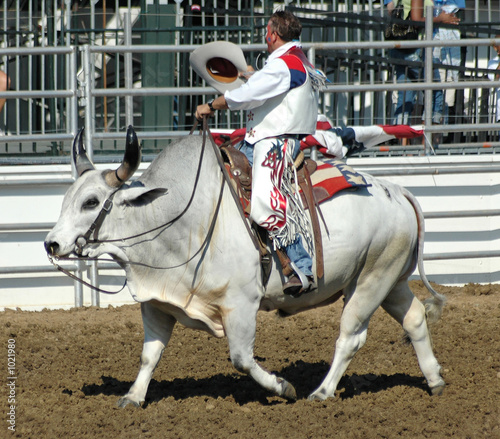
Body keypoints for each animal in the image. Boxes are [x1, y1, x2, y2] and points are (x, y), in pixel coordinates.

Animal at [44, 125, 446, 408]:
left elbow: (241, 358)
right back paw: (435, 380)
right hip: (389, 281)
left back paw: (321, 392)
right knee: (414, 318)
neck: (183, 220)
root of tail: (396, 191)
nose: (52, 243)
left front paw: (282, 387)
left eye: (91, 202)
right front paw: (133, 397)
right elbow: (149, 355)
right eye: (66, 200)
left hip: (370, 281)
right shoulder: (157, 304)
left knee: (350, 338)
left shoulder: (240, 305)